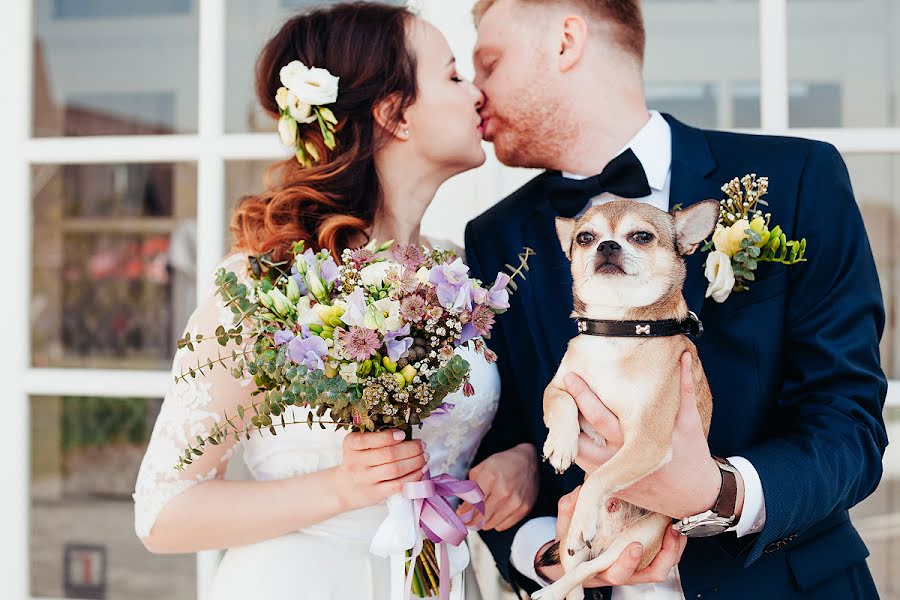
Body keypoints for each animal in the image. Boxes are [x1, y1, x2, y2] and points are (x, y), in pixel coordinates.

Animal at [536, 198, 716, 600]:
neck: (619, 328)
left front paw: (587, 503)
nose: (607, 245)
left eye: (642, 236)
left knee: (587, 569)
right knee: (574, 573)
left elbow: (602, 475)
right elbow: (561, 403)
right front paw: (562, 443)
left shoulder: (648, 441)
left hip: (635, 542)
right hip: (567, 540)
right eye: (585, 238)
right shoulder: (558, 386)